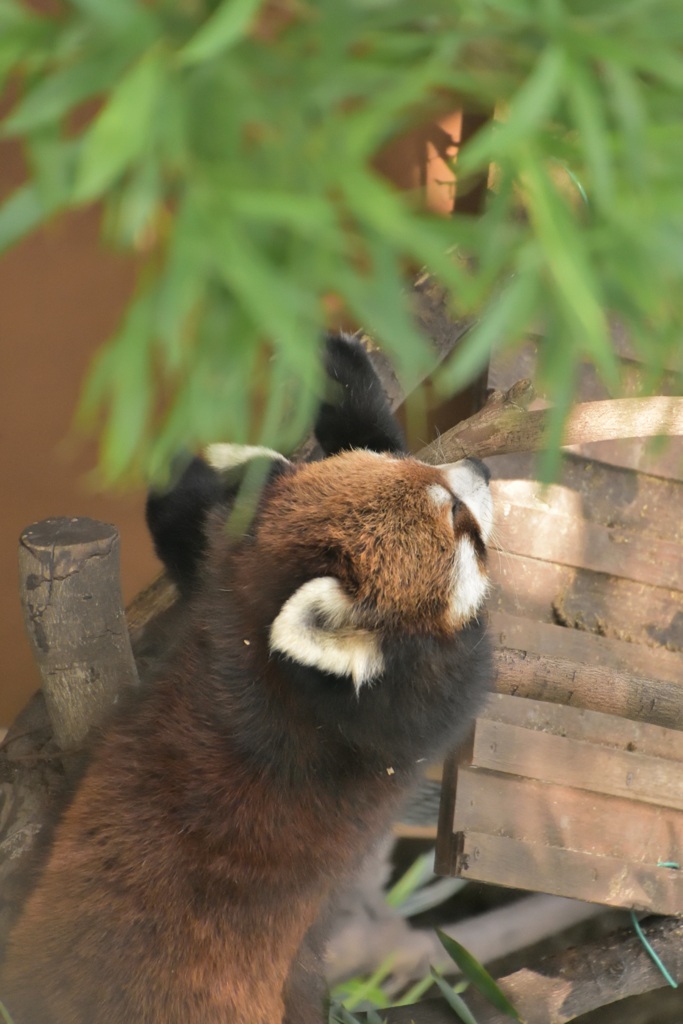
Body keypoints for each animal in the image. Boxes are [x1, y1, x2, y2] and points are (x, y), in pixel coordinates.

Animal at [0, 335, 491, 1024]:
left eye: (434, 479)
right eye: (459, 519)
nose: (482, 466)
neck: (269, 672)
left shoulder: (224, 602)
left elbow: (188, 527)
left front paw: (338, 374)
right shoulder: (381, 720)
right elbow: (461, 679)